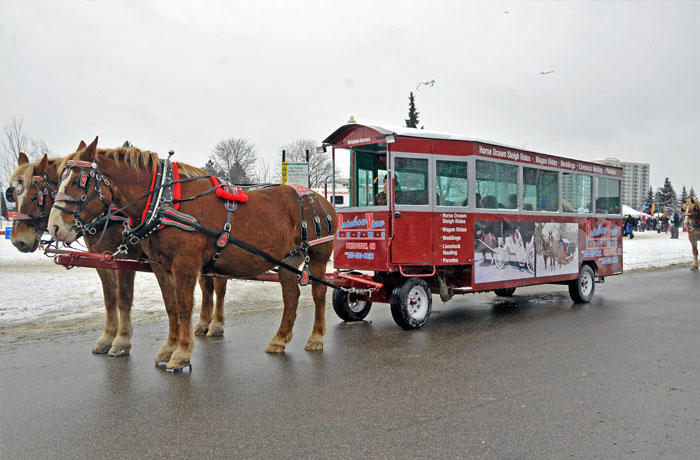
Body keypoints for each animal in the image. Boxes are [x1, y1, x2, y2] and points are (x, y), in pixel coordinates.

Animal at [8, 147, 227, 356]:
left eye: (36, 196)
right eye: (14, 195)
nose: (19, 241)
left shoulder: (124, 257)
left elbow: (123, 298)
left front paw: (121, 340)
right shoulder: (102, 258)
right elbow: (109, 298)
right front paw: (107, 338)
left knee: (218, 288)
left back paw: (215, 324)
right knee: (207, 288)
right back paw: (204, 323)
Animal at [47, 137, 338, 370]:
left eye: (79, 181)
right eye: (58, 180)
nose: (55, 227)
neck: (164, 201)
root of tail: (321, 200)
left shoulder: (184, 264)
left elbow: (185, 306)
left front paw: (182, 353)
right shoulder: (160, 266)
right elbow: (172, 306)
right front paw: (168, 348)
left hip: (318, 258)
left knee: (319, 294)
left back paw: (315, 337)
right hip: (289, 259)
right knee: (291, 297)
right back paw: (279, 339)